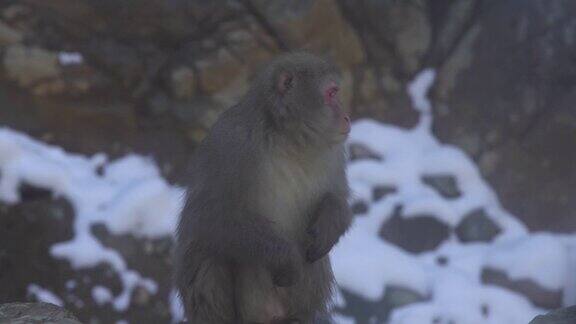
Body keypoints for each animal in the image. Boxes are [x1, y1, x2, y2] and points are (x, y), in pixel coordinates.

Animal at [176, 52, 354, 322]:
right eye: (332, 93)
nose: (346, 117)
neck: (289, 140)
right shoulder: (231, 144)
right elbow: (209, 217)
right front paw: (287, 259)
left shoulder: (333, 152)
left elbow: (337, 197)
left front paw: (330, 222)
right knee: (210, 252)